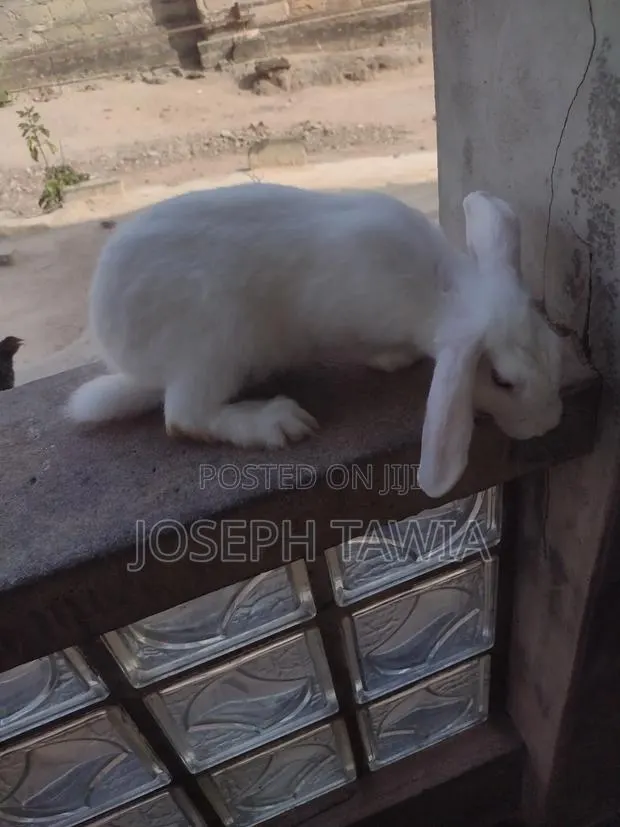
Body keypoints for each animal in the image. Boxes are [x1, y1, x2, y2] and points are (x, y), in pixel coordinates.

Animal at [65, 183, 563, 498]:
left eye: (553, 349)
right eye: (502, 381)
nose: (549, 424)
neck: (445, 294)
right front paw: (393, 358)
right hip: (215, 344)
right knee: (183, 417)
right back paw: (276, 421)